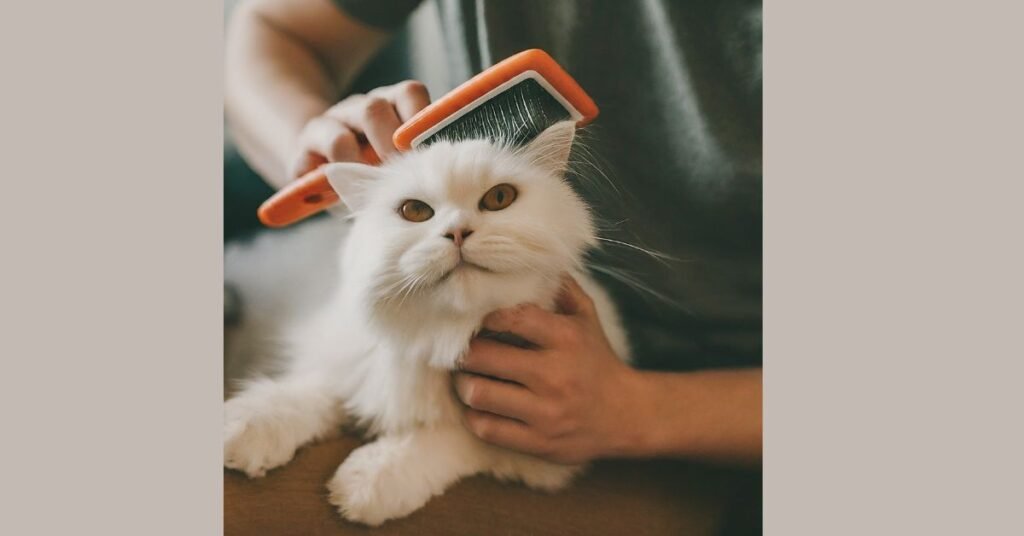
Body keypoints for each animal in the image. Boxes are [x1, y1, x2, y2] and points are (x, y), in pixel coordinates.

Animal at [222, 120, 630, 524]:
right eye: (415, 211)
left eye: (499, 198)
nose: (458, 232)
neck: (444, 335)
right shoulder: (351, 362)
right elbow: (306, 393)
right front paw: (245, 427)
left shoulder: (539, 444)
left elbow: (450, 438)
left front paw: (368, 481)